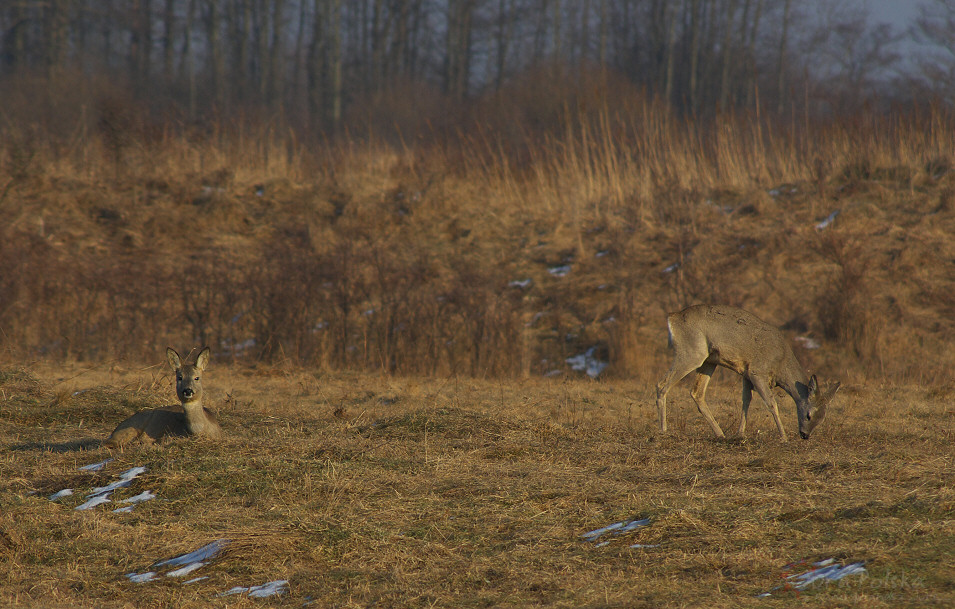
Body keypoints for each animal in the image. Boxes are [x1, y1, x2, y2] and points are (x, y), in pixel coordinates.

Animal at [652, 306, 840, 440]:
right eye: (808, 415)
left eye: (822, 419)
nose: (805, 435)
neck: (781, 363)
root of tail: (672, 317)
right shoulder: (757, 371)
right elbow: (771, 403)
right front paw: (784, 437)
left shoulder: (746, 373)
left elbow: (746, 401)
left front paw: (740, 433)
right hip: (691, 352)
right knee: (662, 384)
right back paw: (663, 430)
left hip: (709, 361)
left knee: (696, 392)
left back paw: (720, 434)